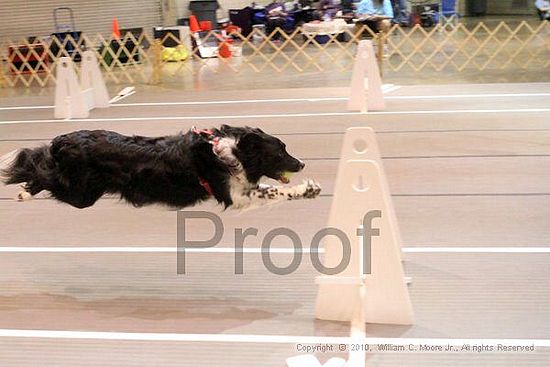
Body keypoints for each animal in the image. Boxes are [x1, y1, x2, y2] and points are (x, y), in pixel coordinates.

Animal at [2, 125, 324, 210]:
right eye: (280, 151)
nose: (301, 163)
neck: (234, 152)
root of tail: (65, 139)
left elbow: (270, 189)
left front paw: (309, 189)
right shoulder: (233, 194)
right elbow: (272, 192)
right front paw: (305, 188)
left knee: (40, 165)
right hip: (81, 194)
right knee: (38, 167)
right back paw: (22, 188)